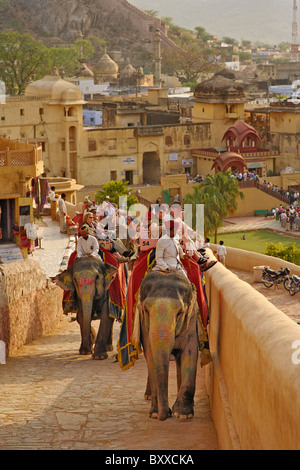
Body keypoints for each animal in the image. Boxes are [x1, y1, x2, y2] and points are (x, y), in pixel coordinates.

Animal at [135, 270, 200, 420]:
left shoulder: (191, 320)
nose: (165, 415)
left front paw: (183, 414)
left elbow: (190, 351)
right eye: (146, 310)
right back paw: (148, 397)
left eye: (180, 312)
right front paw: (154, 414)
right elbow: (150, 355)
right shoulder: (144, 325)